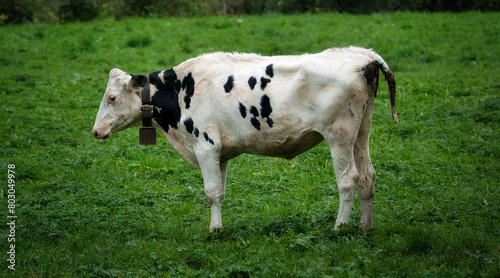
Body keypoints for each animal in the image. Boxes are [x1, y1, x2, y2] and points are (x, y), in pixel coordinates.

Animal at [93, 46, 398, 232]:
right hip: (361, 132)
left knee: (348, 181)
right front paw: (219, 228)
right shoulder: (221, 153)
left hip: (339, 136)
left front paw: (214, 230)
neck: (181, 90)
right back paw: (365, 226)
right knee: (367, 175)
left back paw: (339, 228)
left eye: (112, 98)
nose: (95, 131)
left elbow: (210, 192)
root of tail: (362, 55)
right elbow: (220, 192)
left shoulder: (205, 147)